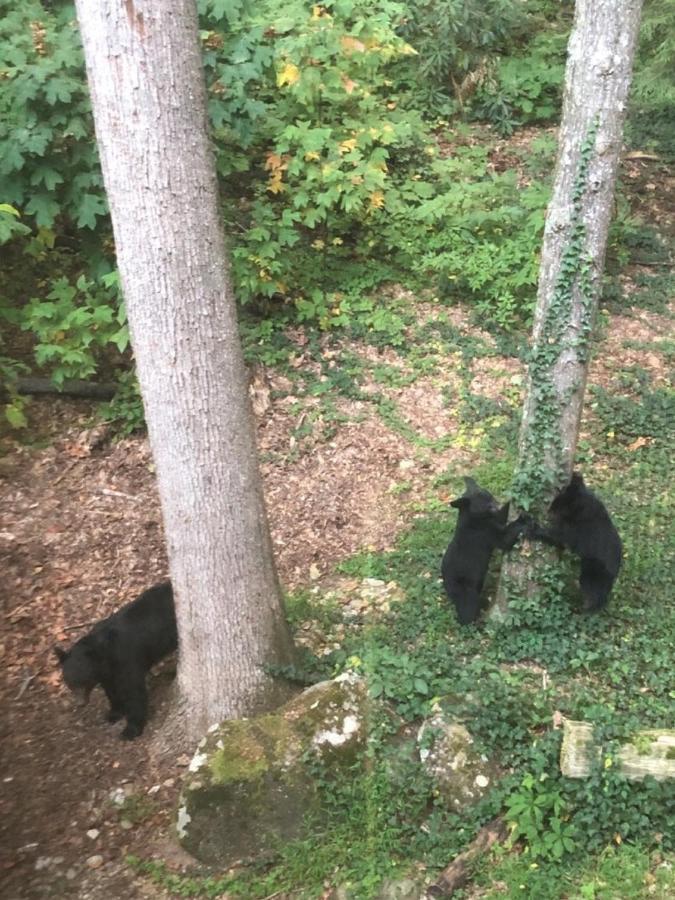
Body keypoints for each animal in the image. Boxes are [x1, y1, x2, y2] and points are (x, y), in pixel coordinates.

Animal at [54, 580, 177, 740]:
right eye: (70, 682)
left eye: (84, 681)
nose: (80, 703)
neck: (106, 654)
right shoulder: (106, 672)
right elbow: (111, 690)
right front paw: (114, 713)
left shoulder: (127, 659)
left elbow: (134, 691)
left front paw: (130, 729)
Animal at [440, 478, 532, 624]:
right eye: (487, 504)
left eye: (491, 496)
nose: (497, 503)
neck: (473, 517)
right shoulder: (484, 532)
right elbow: (503, 539)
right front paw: (522, 518)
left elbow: (501, 518)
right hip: (464, 589)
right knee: (467, 609)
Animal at [528, 472, 624, 612]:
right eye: (556, 500)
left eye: (558, 505)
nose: (548, 511)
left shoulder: (577, 528)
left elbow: (559, 537)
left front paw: (532, 528)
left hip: (594, 569)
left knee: (591, 589)